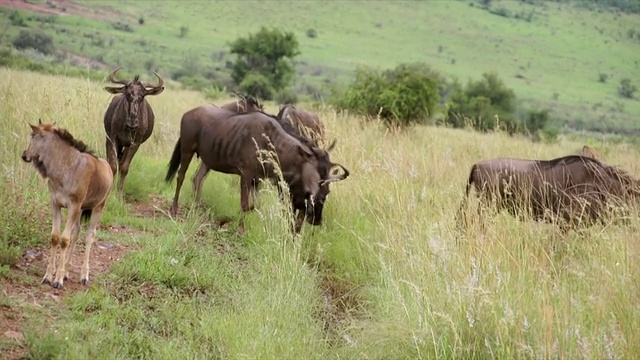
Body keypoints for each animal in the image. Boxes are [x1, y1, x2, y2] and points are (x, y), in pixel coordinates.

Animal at [21, 121, 114, 290]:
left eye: (33, 136)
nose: (25, 155)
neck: (66, 168)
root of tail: (108, 167)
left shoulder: (73, 206)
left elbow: (64, 239)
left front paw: (58, 279)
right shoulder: (56, 203)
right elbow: (55, 237)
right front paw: (48, 276)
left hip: (98, 207)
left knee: (89, 235)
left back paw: (84, 276)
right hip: (81, 210)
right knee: (76, 232)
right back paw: (67, 270)